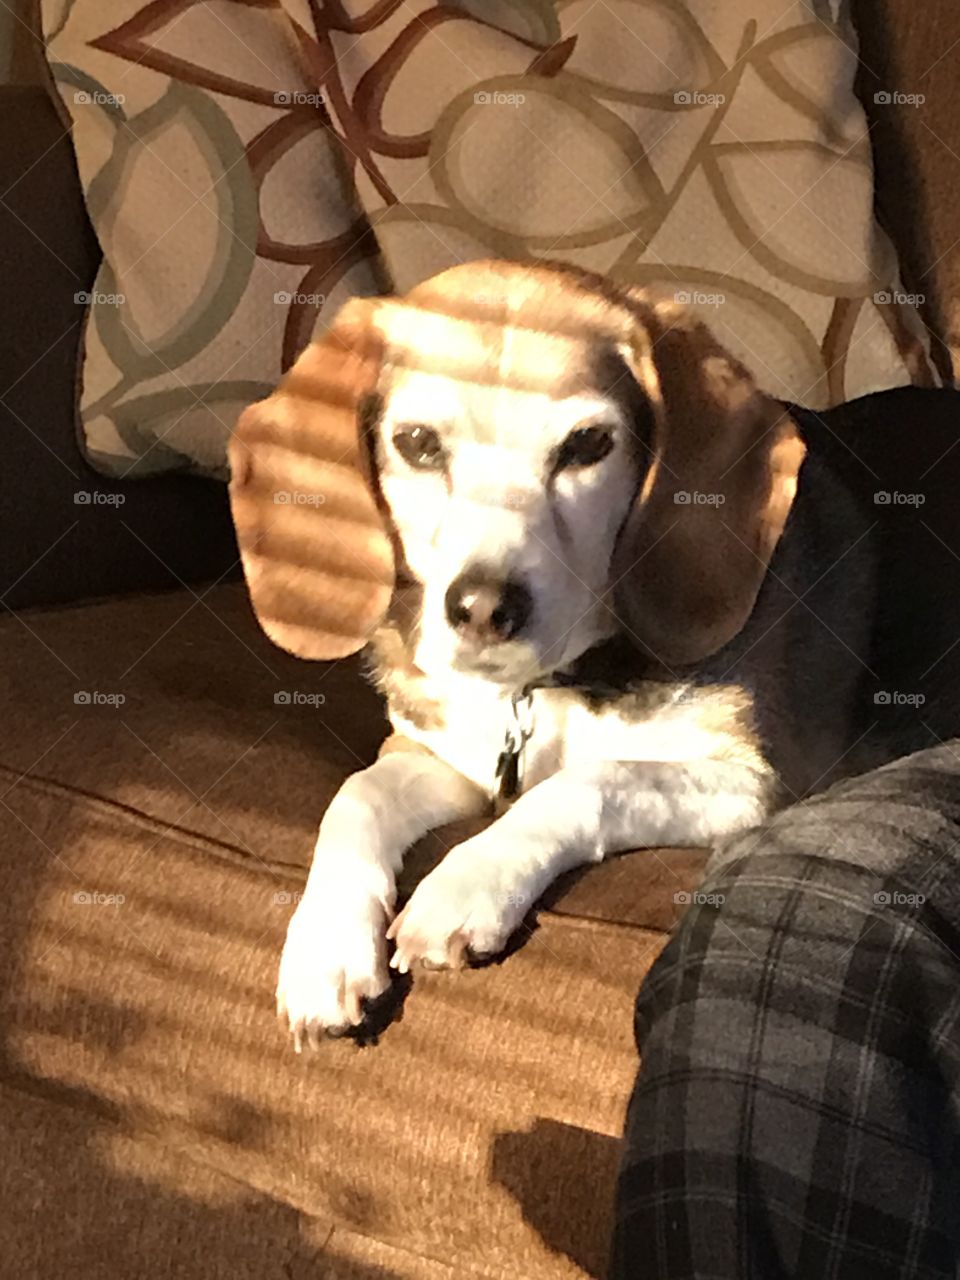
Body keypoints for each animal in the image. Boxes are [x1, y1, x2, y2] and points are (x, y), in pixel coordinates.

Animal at [229, 254, 960, 1044]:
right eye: (418, 444)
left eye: (586, 446)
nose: (483, 608)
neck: (542, 689)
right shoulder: (443, 759)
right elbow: (355, 796)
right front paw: (324, 948)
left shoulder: (763, 781)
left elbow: (589, 780)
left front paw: (467, 880)